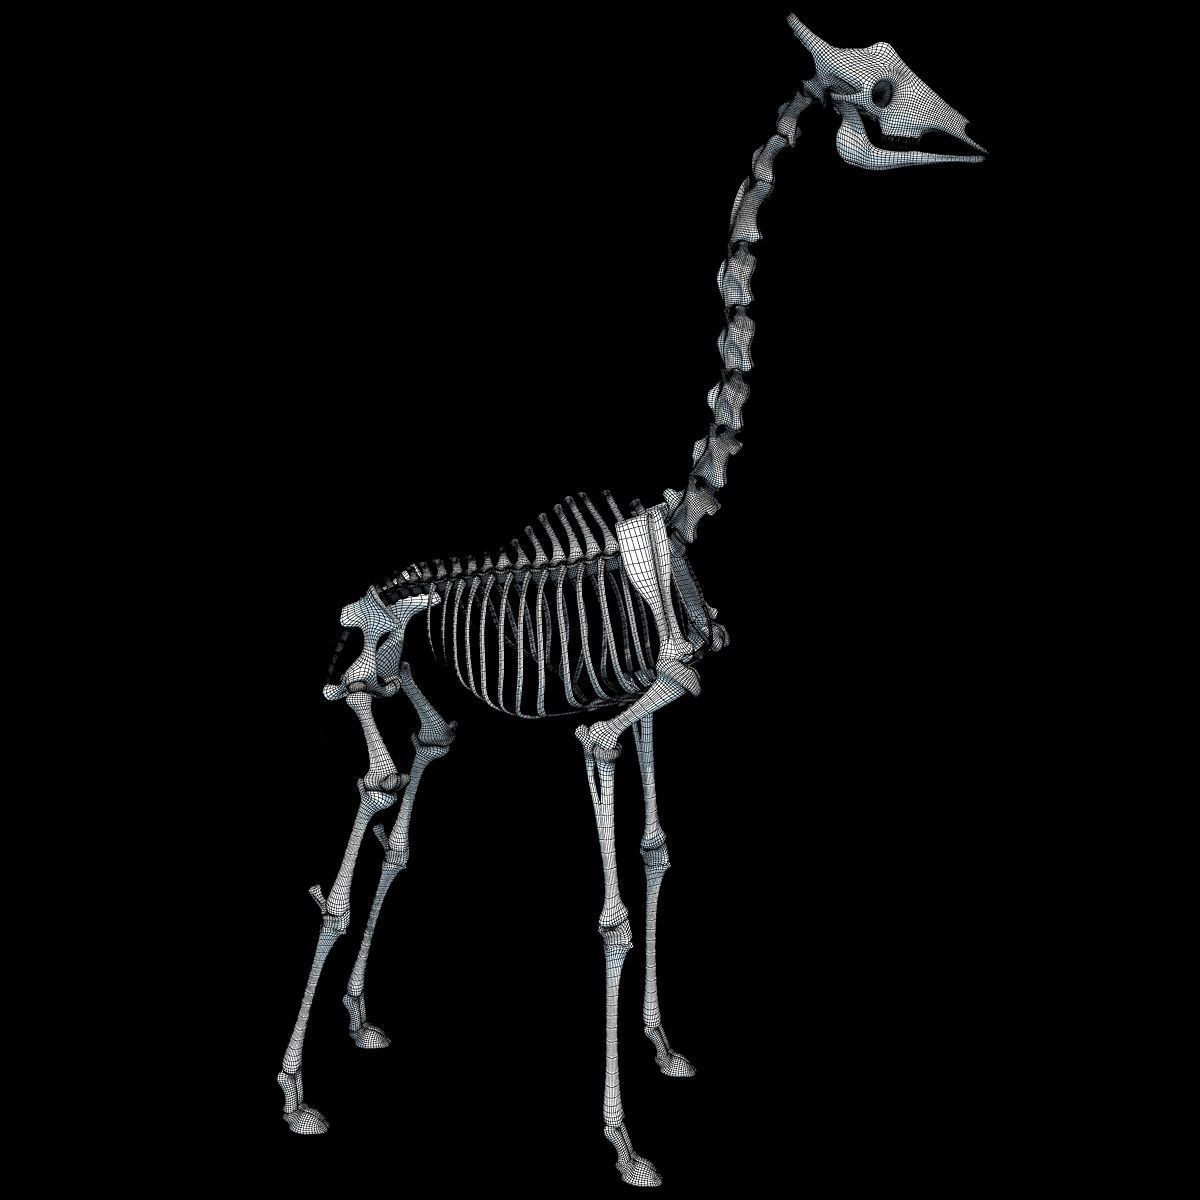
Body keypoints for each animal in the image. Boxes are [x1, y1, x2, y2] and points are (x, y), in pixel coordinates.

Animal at [277, 14, 985, 1186]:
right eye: (879, 94)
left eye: (905, 69)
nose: (965, 134)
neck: (683, 519)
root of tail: (370, 594)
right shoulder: (607, 727)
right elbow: (609, 906)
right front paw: (624, 1142)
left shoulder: (656, 698)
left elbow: (657, 851)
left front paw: (665, 1048)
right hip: (363, 675)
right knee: (365, 792)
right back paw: (295, 1095)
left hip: (419, 692)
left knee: (413, 784)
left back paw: (361, 1020)